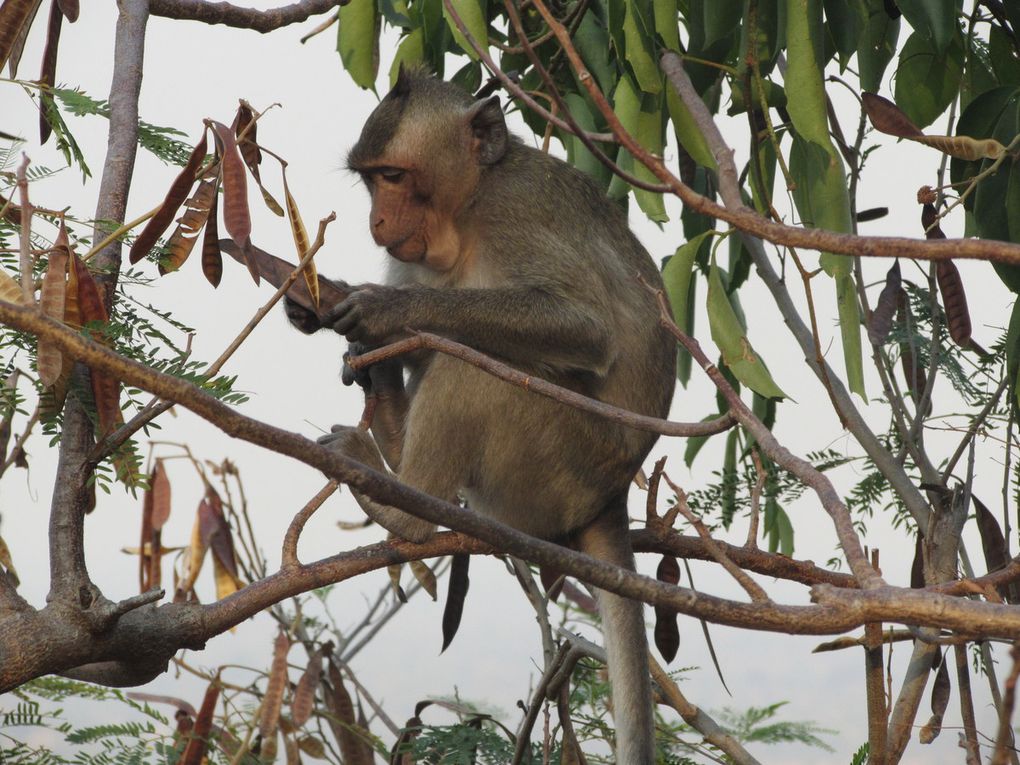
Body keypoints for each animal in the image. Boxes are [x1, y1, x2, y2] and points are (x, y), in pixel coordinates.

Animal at [285, 68, 677, 762]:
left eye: (393, 176)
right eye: (370, 179)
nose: (376, 220)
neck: (467, 211)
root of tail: (612, 494)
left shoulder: (516, 209)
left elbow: (585, 327)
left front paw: (386, 311)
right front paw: (338, 319)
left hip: (559, 464)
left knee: (470, 368)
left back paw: (404, 509)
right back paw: (388, 417)